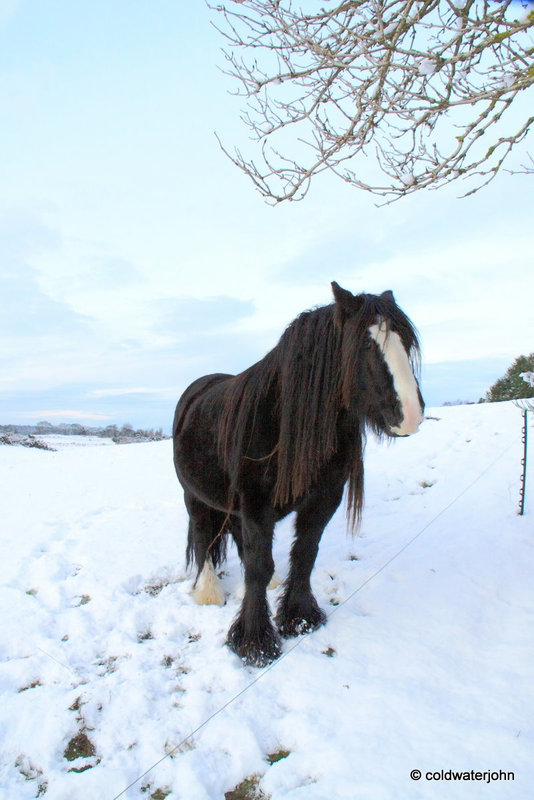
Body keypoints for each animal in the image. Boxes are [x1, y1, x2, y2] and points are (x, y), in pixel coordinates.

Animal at [174, 284, 426, 664]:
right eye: (367, 345)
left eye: (407, 342)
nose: (410, 414)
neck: (281, 421)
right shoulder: (256, 505)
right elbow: (258, 566)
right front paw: (254, 642)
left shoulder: (324, 499)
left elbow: (304, 553)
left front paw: (300, 618)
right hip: (196, 496)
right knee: (204, 537)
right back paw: (209, 593)